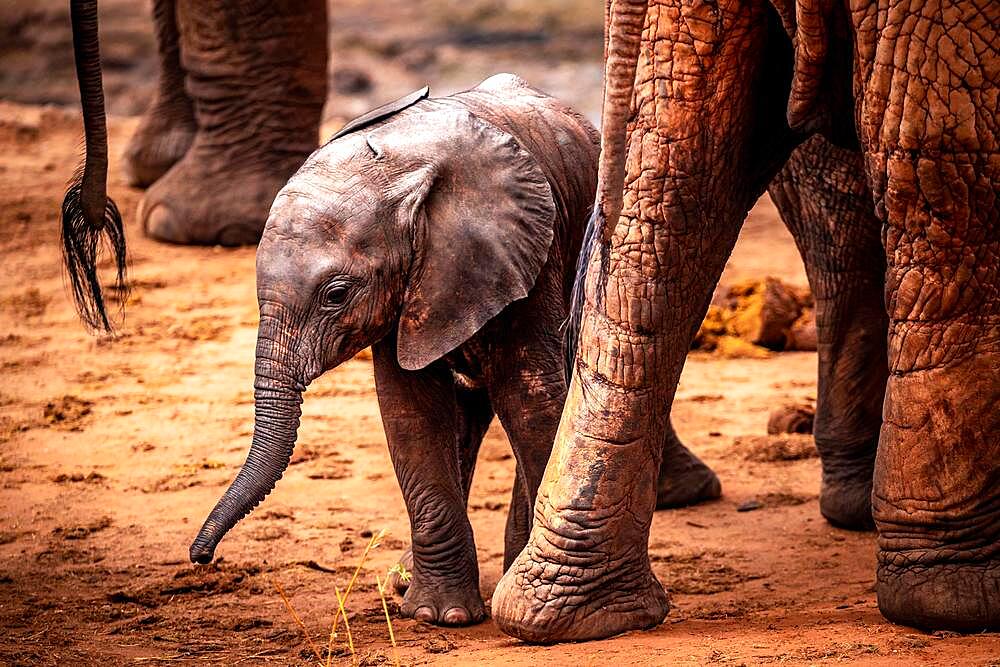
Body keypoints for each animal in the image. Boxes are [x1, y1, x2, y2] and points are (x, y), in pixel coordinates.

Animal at [189, 75, 592, 628]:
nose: (200, 557)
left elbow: (533, 404)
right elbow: (411, 414)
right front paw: (437, 615)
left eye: (336, 295)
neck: (401, 174)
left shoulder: (523, 256)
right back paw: (404, 578)